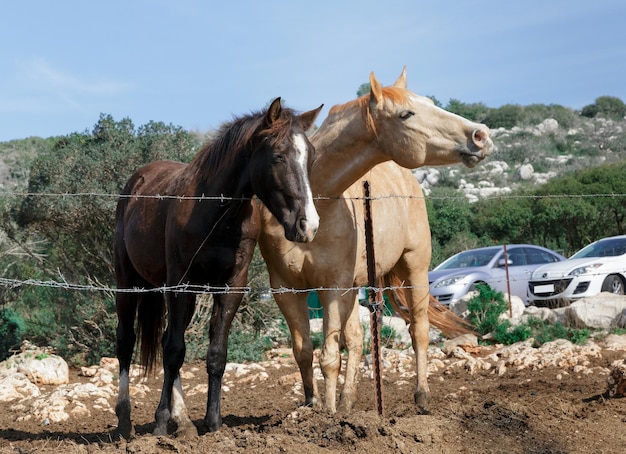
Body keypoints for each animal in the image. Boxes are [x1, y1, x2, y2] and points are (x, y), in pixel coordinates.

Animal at [111, 98, 322, 436]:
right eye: (278, 155)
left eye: (310, 156)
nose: (308, 225)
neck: (217, 213)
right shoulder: (180, 285)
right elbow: (174, 352)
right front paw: (160, 422)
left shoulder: (230, 286)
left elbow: (215, 354)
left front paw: (212, 423)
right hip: (129, 282)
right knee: (126, 342)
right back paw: (125, 419)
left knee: (166, 339)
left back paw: (182, 419)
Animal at [258, 68, 492, 414]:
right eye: (406, 114)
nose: (481, 135)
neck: (317, 203)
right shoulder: (286, 290)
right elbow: (304, 351)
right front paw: (313, 407)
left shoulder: (332, 288)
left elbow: (329, 356)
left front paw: (328, 415)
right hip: (355, 288)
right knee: (356, 339)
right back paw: (348, 400)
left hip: (414, 268)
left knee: (419, 331)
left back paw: (421, 396)